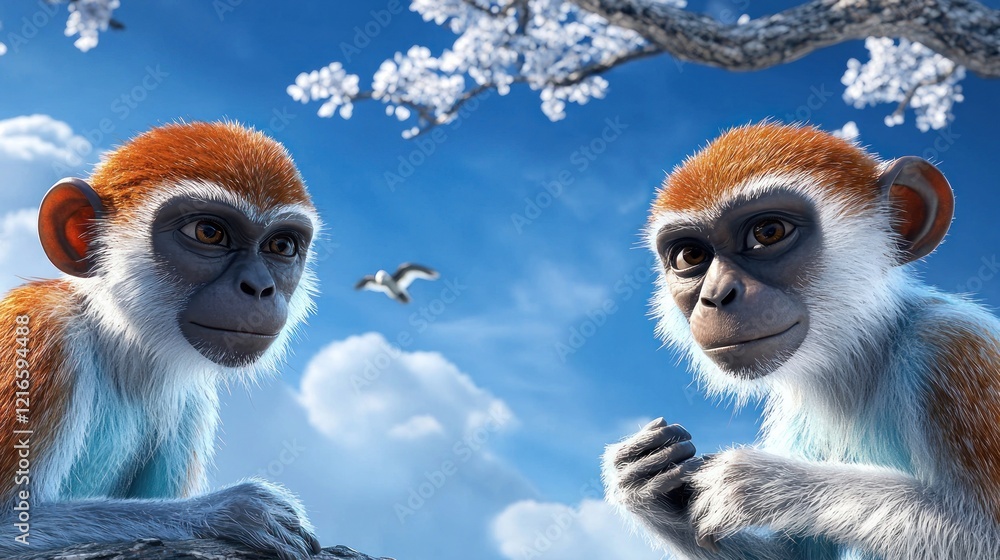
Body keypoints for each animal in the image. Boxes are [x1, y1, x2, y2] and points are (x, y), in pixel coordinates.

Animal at [0, 122, 323, 559]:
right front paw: (236, 510)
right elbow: (12, 526)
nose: (259, 287)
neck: (118, 342)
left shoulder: (194, 399)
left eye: (282, 245)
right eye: (208, 232)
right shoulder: (43, 335)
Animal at [602, 122, 1000, 559]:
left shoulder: (952, 349)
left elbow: (981, 534)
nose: (716, 295)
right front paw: (646, 483)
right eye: (690, 256)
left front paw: (757, 483)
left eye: (768, 232)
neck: (864, 353)